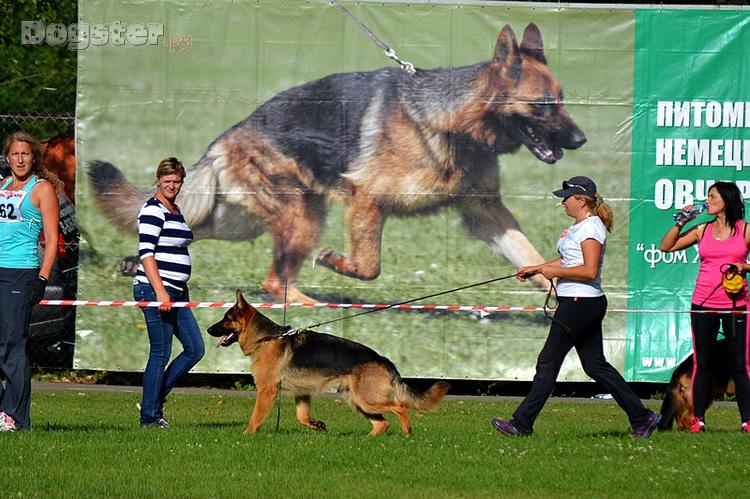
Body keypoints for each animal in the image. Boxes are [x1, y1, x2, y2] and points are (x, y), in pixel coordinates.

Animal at [88, 22, 586, 303]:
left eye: (562, 100)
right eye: (545, 106)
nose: (580, 140)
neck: (453, 123)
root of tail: (224, 140)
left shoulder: (486, 212)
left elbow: (530, 255)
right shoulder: (367, 200)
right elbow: (370, 265)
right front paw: (337, 263)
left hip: (244, 220)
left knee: (185, 234)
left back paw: (133, 266)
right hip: (300, 218)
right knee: (274, 283)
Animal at [206, 289, 450, 436]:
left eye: (226, 319)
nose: (208, 329)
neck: (267, 339)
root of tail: (383, 359)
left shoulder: (267, 392)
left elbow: (255, 418)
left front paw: (246, 436)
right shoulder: (302, 393)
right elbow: (302, 417)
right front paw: (316, 425)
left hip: (367, 400)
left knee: (400, 407)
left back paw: (407, 432)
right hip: (357, 401)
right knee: (383, 422)